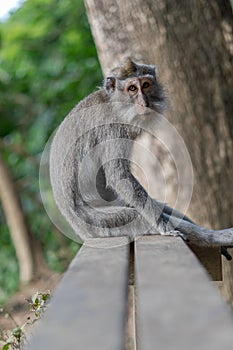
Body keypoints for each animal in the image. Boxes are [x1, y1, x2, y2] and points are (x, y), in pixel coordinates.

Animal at [49, 57, 233, 258]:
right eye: (132, 88)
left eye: (146, 85)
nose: (144, 103)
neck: (114, 104)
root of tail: (81, 233)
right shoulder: (111, 129)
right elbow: (119, 177)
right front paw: (164, 227)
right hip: (103, 224)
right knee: (135, 216)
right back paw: (213, 237)